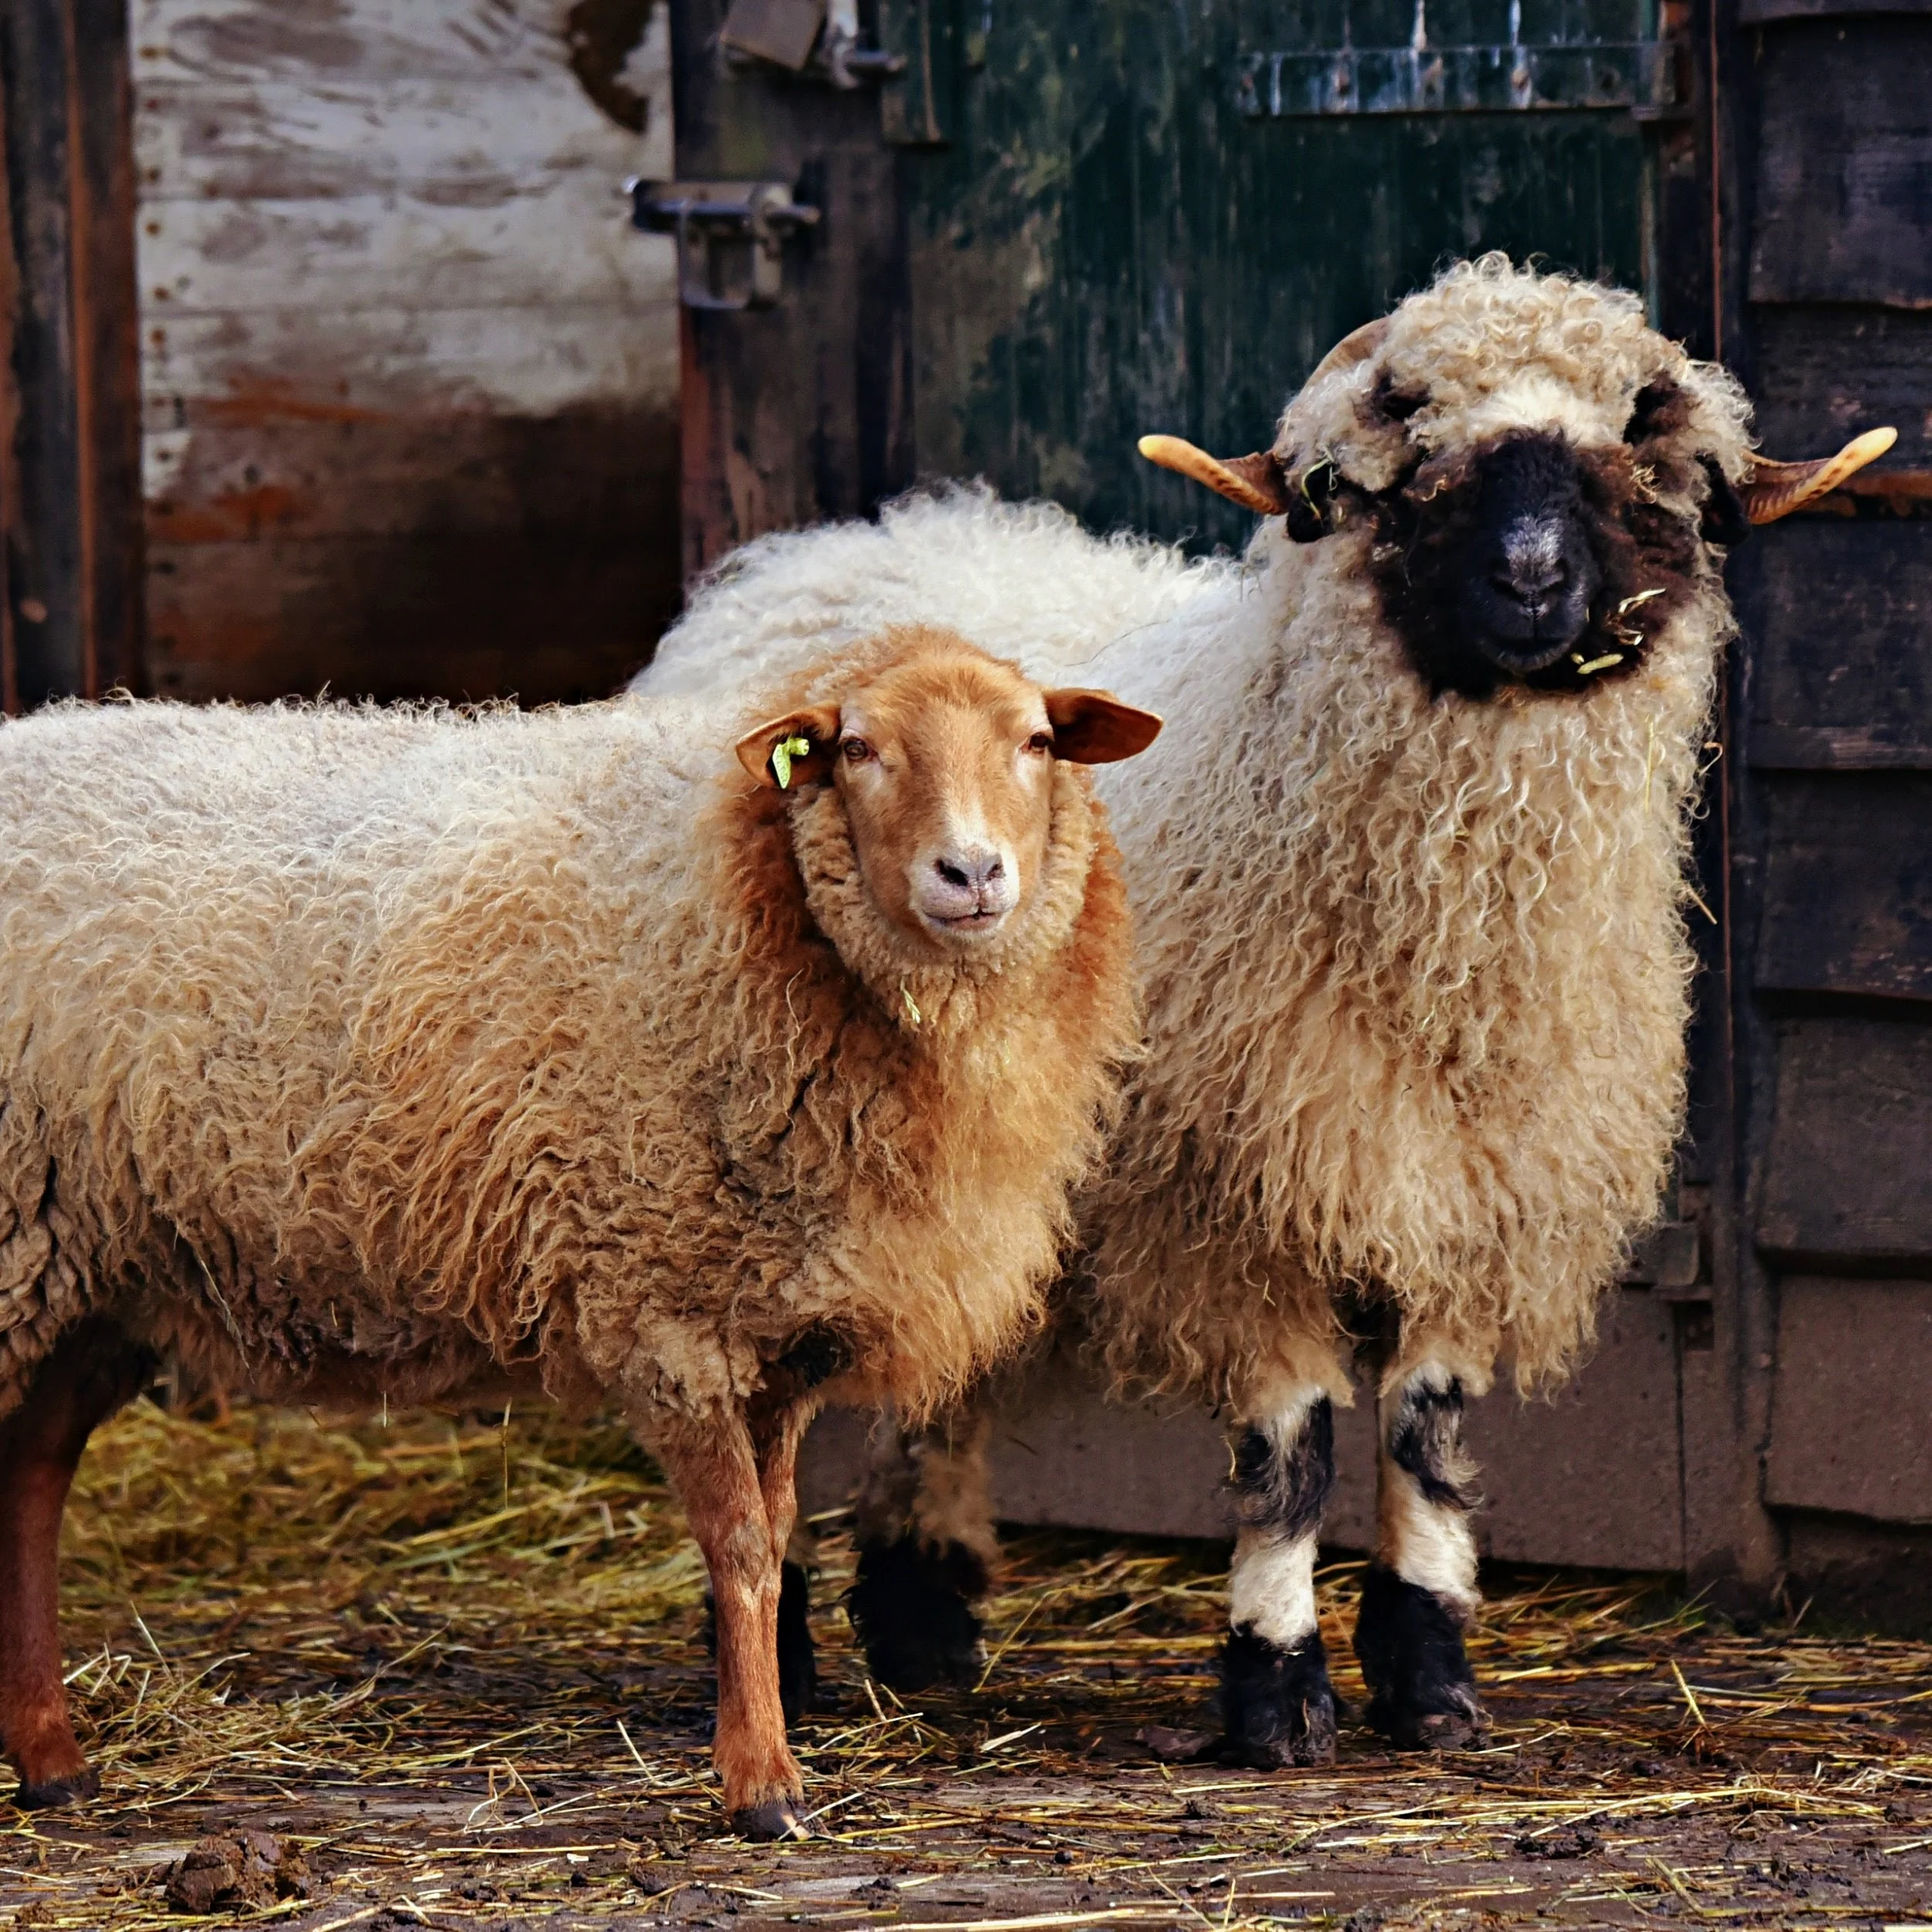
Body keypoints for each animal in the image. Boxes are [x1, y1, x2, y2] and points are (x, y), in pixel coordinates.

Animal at [0, 627, 1161, 1833]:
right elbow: (740, 1548)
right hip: (25, 1235)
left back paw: (53, 1757)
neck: (739, 896)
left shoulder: (780, 1322)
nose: (971, 874)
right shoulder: (667, 1300)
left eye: (1036, 741)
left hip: (95, 1269)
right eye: (857, 750)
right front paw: (762, 1783)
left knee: (29, 1479)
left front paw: (762, 1754)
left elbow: (775, 1532)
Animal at [632, 256, 1893, 1764]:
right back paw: (786, 1646)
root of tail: (812, 553)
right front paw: (1278, 1693)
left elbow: (1424, 1438)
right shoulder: (1244, 1198)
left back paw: (924, 1623)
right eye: (1411, 466)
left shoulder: (1464, 1190)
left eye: (1636, 465)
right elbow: (1293, 1458)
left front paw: (1432, 1680)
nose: (1533, 582)